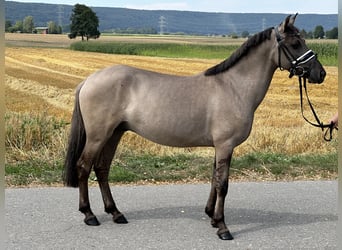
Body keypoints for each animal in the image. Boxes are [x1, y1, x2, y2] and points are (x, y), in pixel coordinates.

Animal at [63, 13, 326, 240]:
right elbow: (223, 184)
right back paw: (89, 215)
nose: (320, 73)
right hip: (98, 136)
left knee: (102, 169)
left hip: (114, 134)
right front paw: (222, 227)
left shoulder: (220, 147)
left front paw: (212, 217)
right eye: (295, 43)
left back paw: (116, 213)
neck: (234, 86)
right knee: (84, 167)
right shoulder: (225, 145)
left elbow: (214, 179)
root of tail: (88, 80)